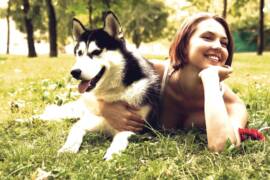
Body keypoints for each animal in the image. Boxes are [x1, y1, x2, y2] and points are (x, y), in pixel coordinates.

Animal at [39, 11, 159, 160]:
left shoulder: (137, 127)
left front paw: (113, 153)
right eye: (79, 53)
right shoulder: (86, 122)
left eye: (96, 52)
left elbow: (120, 137)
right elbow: (74, 131)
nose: (74, 72)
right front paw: (68, 149)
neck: (113, 91)